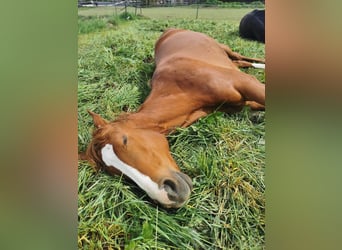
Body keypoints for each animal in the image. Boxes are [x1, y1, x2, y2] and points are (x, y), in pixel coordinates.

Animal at [79, 28, 264, 209]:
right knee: (241, 62)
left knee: (244, 58)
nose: (168, 195)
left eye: (124, 140)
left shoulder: (246, 83)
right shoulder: (242, 104)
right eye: (115, 172)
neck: (181, 86)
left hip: (225, 48)